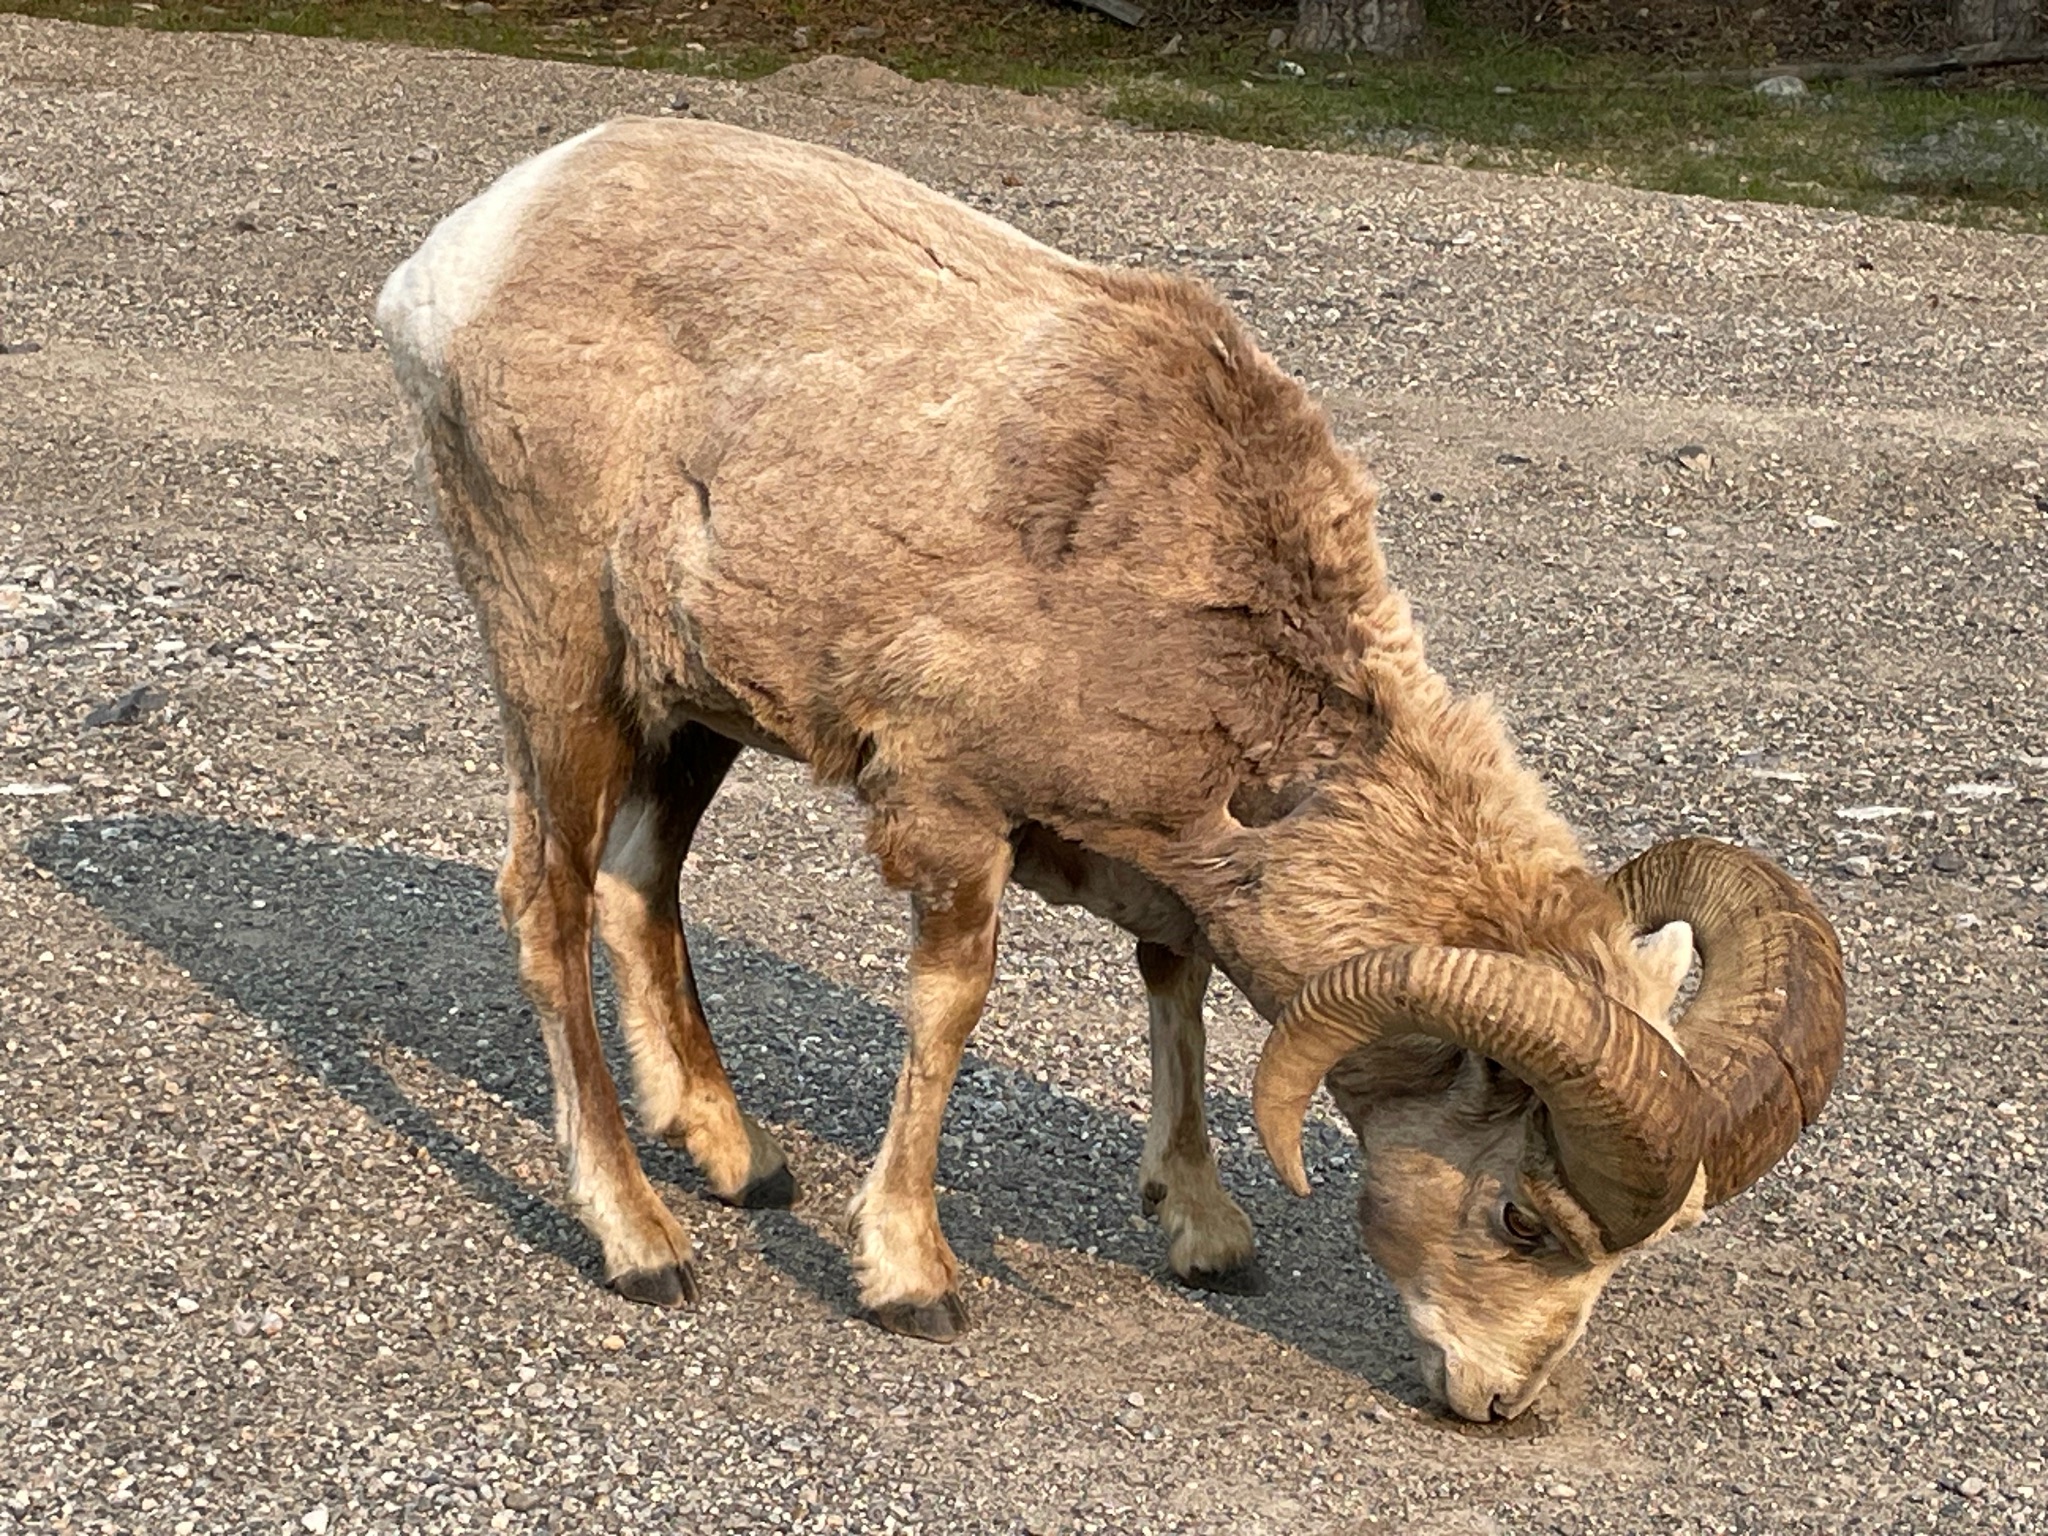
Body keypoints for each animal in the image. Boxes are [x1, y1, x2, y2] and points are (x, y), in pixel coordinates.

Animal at [375, 117, 1845, 1420]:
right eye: (1521, 1217)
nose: (1499, 1403)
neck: (1176, 578)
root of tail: (459, 257)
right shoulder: (950, 811)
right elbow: (950, 1009)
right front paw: (913, 1280)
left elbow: (1174, 977)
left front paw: (1203, 1232)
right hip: (560, 658)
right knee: (548, 902)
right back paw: (641, 1242)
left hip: (692, 709)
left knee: (640, 884)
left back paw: (740, 1163)